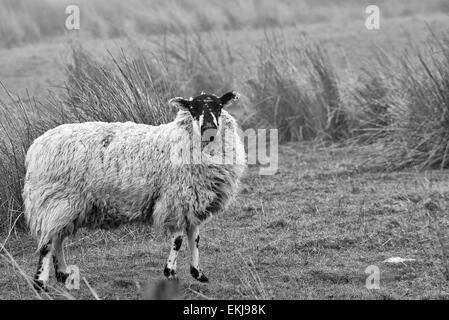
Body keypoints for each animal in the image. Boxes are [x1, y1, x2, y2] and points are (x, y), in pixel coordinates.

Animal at [22, 90, 247, 290]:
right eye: (193, 109)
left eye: (219, 107)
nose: (209, 128)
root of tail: (36, 147)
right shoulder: (175, 201)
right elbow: (178, 239)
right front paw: (171, 273)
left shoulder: (192, 201)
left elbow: (195, 237)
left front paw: (198, 273)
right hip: (56, 199)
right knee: (47, 242)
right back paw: (41, 282)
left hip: (66, 206)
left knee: (57, 238)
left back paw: (62, 274)